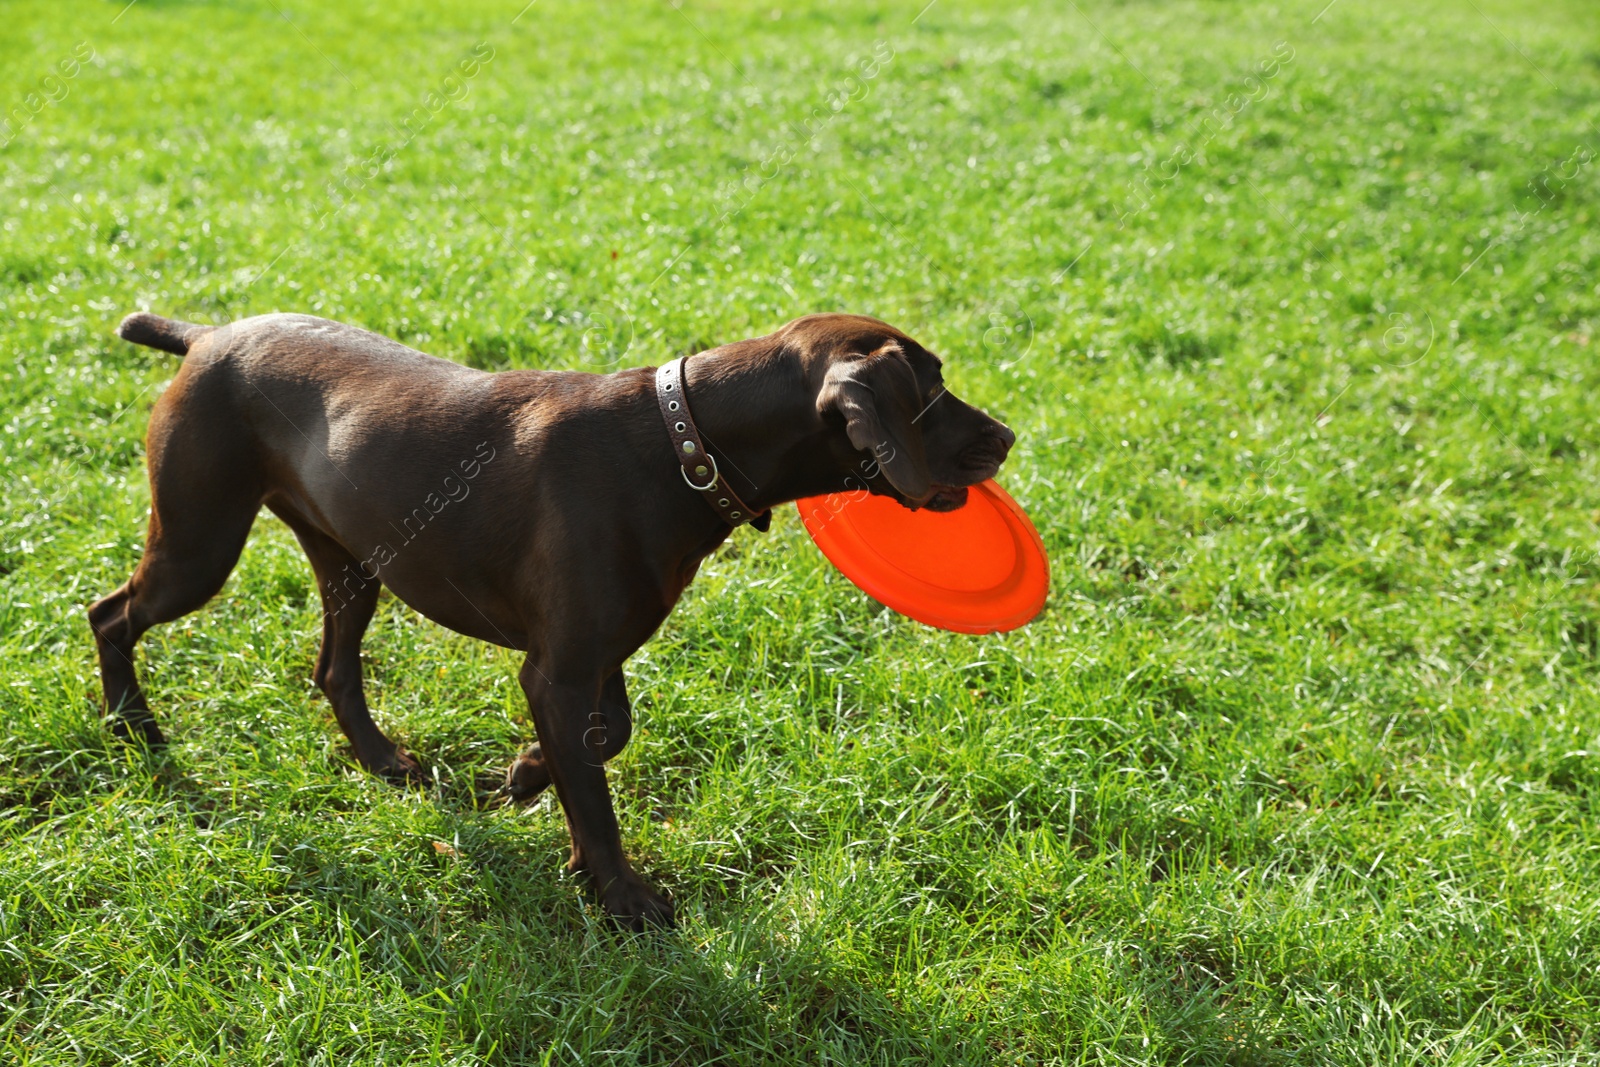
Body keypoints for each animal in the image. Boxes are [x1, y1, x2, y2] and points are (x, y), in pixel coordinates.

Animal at [93, 308, 1011, 927]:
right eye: (929, 388)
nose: (1005, 436)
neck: (681, 442)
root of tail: (207, 335)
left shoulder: (596, 654)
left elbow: (609, 738)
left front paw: (533, 775)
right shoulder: (560, 667)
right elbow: (598, 795)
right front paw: (625, 897)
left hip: (351, 563)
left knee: (333, 668)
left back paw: (383, 760)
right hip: (200, 542)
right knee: (111, 614)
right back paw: (132, 722)